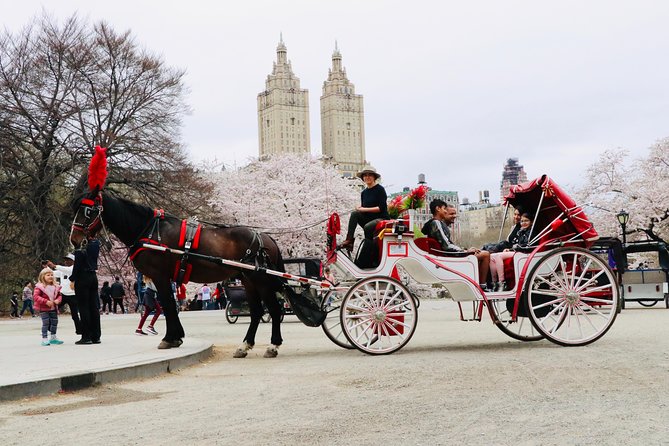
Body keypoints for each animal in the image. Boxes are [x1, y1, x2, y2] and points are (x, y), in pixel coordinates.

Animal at [70, 190, 288, 358]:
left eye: (88, 211)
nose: (74, 239)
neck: (149, 231)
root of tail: (265, 236)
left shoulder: (159, 276)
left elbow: (168, 305)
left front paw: (170, 338)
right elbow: (170, 306)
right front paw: (176, 336)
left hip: (261, 280)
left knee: (274, 310)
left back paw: (273, 345)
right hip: (248, 280)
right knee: (257, 312)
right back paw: (244, 345)